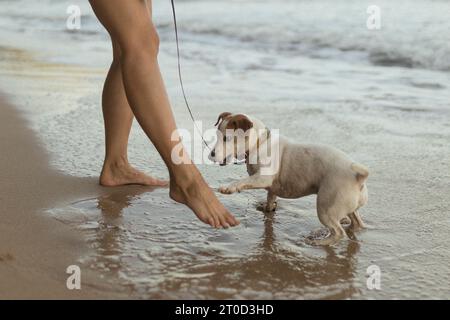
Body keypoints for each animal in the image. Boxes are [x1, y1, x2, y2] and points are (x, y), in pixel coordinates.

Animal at [209, 112, 368, 245]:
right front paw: (267, 209)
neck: (260, 143)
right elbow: (270, 198)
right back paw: (349, 227)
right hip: (348, 208)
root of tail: (357, 177)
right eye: (217, 135)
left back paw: (320, 242)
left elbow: (242, 182)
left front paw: (229, 187)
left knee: (338, 232)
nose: (211, 154)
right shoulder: (271, 187)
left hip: (325, 209)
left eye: (227, 138)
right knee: (357, 222)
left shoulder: (263, 178)